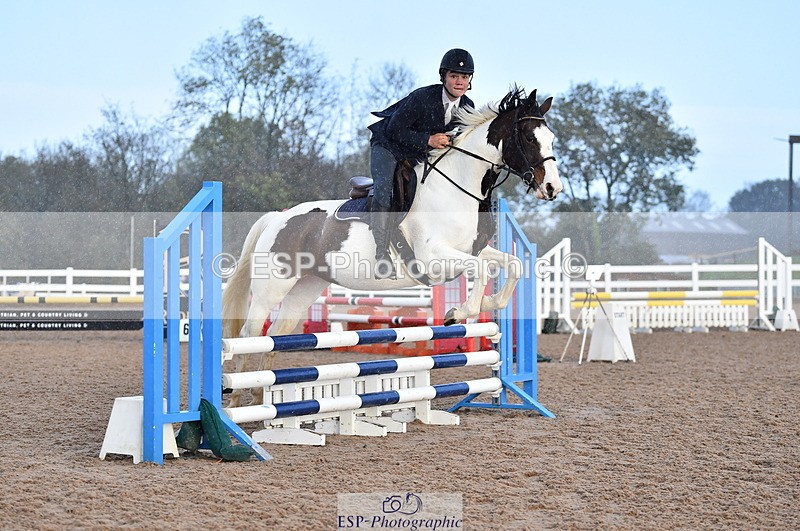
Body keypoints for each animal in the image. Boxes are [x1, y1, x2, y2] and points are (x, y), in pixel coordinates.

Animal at [222, 87, 562, 407]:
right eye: (529, 138)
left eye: (552, 139)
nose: (552, 189)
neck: (456, 188)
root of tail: (278, 217)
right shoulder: (434, 258)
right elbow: (480, 271)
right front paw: (457, 312)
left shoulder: (471, 251)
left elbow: (512, 264)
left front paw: (488, 304)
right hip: (272, 286)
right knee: (249, 334)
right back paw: (237, 398)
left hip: (306, 287)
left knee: (274, 336)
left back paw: (261, 396)